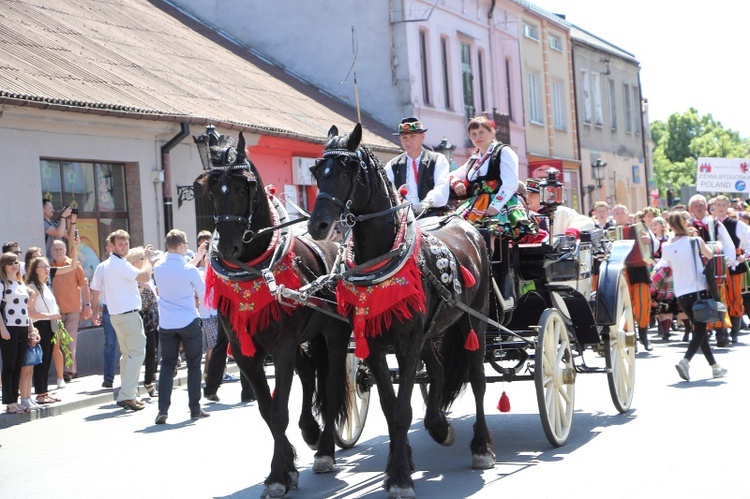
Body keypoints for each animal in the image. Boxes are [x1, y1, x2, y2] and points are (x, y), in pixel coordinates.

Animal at [197, 131, 352, 498]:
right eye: (212, 190)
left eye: (245, 187)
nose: (227, 249)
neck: (256, 271)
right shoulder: (244, 350)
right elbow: (267, 410)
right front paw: (283, 470)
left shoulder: (281, 346)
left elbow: (280, 410)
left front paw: (280, 475)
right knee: (309, 373)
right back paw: (310, 430)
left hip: (334, 334)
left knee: (330, 385)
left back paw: (325, 449)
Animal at [308, 124, 496, 496]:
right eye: (317, 171)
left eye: (346, 172)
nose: (317, 225)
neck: (380, 260)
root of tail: (466, 225)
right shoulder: (375, 345)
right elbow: (389, 404)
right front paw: (401, 462)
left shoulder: (407, 344)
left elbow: (401, 410)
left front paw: (399, 477)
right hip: (431, 332)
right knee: (438, 370)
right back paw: (438, 425)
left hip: (473, 323)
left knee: (478, 381)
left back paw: (481, 447)